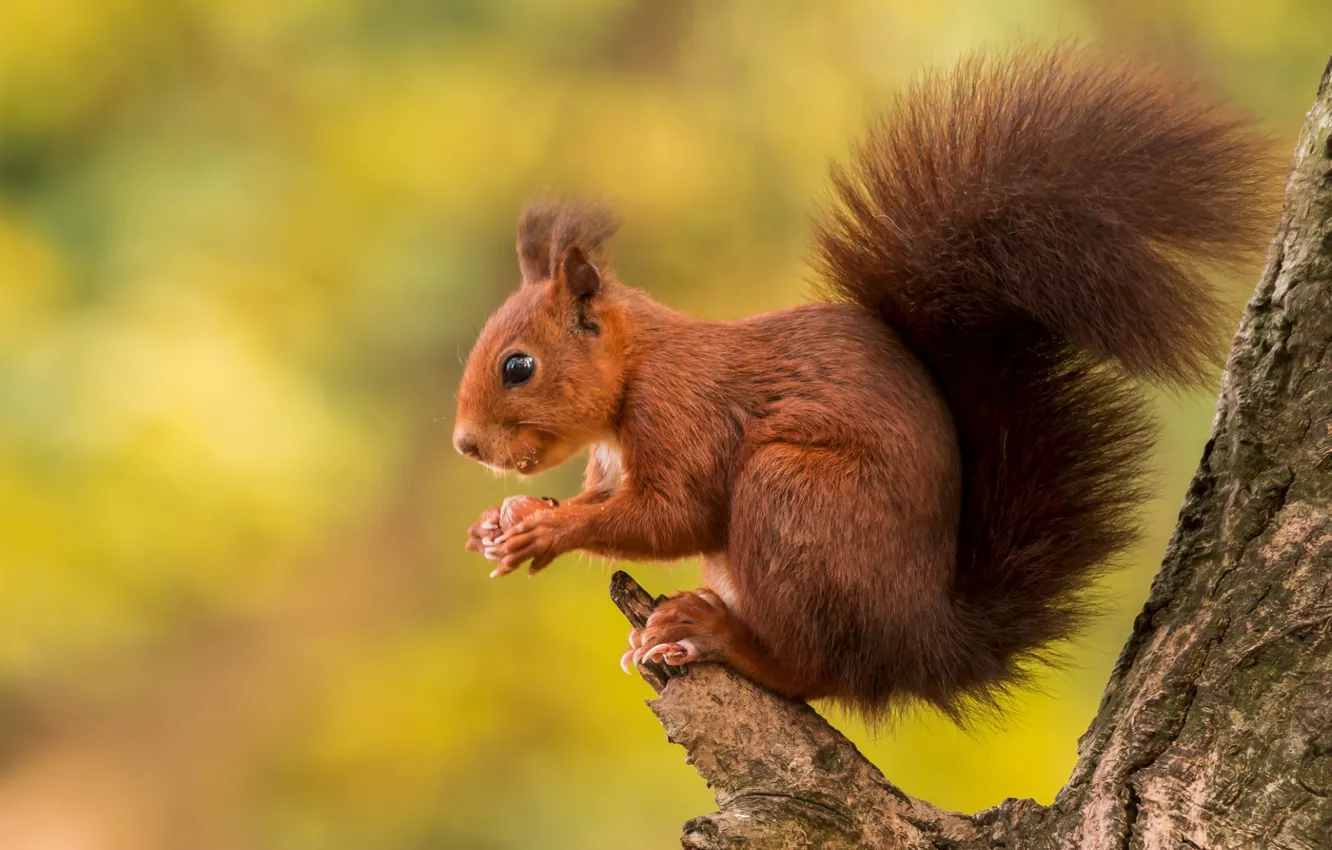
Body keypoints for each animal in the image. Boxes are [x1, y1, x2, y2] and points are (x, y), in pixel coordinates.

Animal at [452, 46, 1273, 718]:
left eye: (518, 366)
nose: (466, 446)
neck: (636, 371)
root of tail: (921, 643)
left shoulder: (683, 414)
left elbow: (673, 516)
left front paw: (545, 530)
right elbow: (605, 501)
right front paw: (506, 518)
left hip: (796, 496)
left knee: (813, 671)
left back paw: (716, 633)